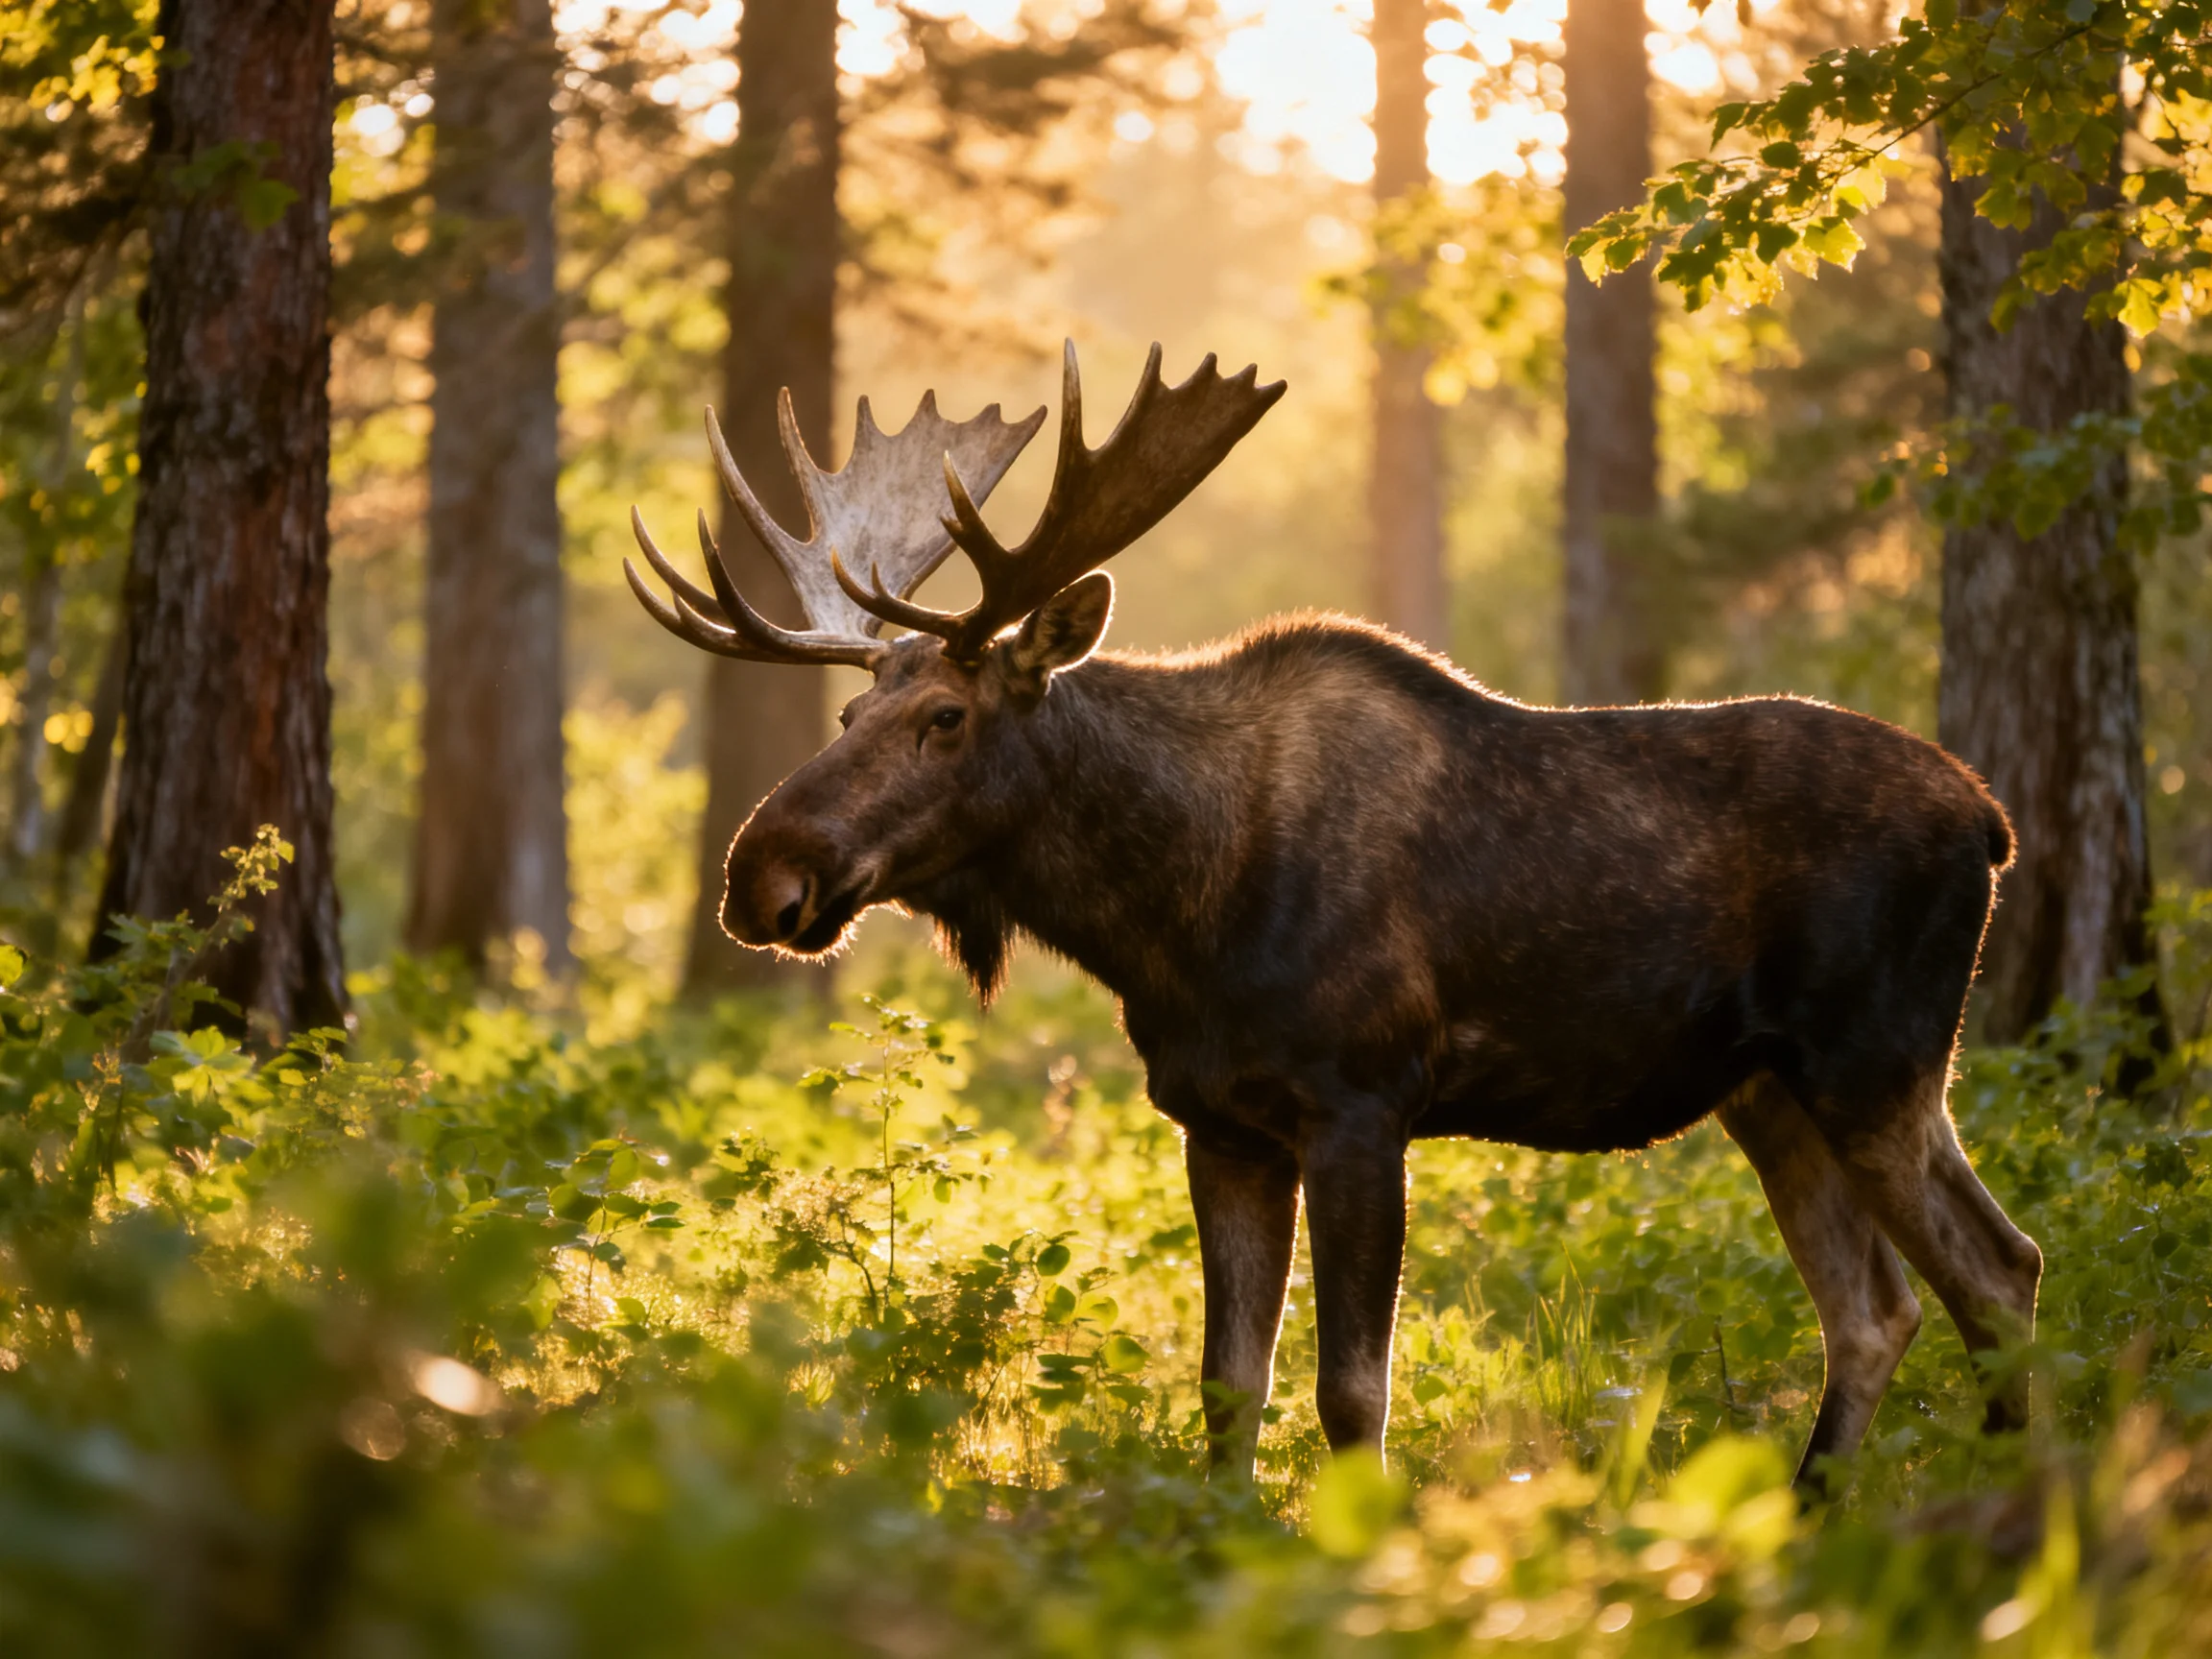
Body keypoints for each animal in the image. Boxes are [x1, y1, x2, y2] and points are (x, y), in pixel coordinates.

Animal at [624, 343, 2042, 1497]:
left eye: (945, 717)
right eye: (849, 712)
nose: (760, 873)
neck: (1169, 912)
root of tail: (1990, 818)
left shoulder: (1364, 1102)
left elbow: (1352, 1391)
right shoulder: (1218, 1121)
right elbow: (1226, 1387)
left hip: (1874, 1062)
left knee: (1999, 1272)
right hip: (1769, 1091)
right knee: (1881, 1309)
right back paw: (1817, 1511)